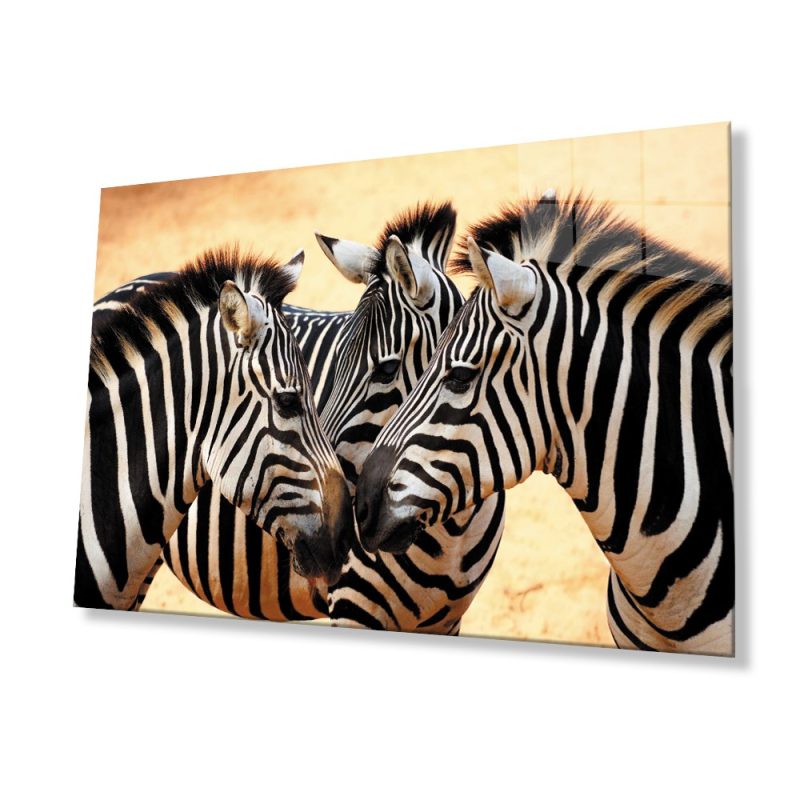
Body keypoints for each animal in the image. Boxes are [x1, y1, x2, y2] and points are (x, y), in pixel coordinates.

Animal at [153, 203, 507, 632]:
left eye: (387, 370)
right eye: (334, 362)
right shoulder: (354, 609)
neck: (452, 531)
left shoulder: (447, 620)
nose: (339, 513)